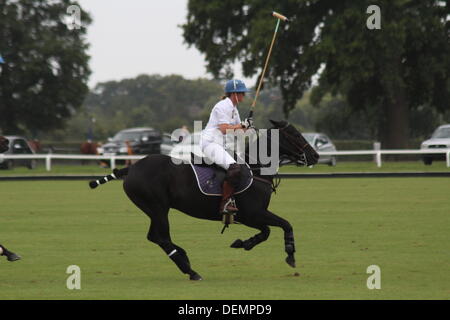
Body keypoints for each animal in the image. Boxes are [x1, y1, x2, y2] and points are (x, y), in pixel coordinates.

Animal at [89, 120, 318, 280]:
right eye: (295, 134)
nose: (315, 156)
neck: (256, 169)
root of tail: (131, 168)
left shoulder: (248, 217)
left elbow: (266, 231)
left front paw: (243, 243)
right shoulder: (253, 213)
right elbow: (284, 224)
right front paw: (290, 254)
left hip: (155, 209)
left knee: (154, 237)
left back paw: (185, 259)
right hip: (157, 207)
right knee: (160, 237)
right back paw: (190, 269)